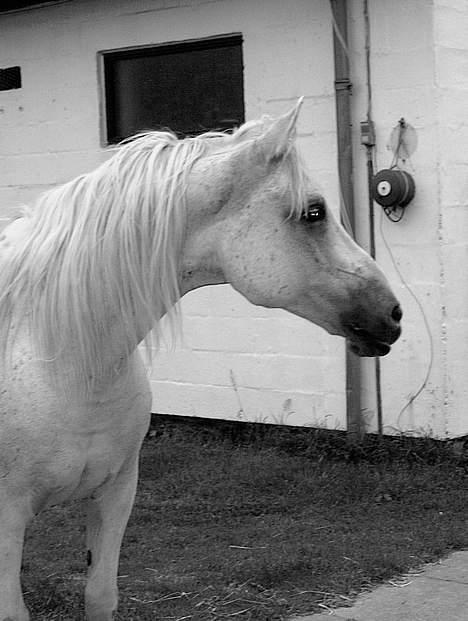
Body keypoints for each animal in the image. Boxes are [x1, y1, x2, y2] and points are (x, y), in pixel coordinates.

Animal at [0, 103, 402, 620]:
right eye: (314, 212)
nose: (392, 314)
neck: (61, 362)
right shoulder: (8, 520)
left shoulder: (115, 494)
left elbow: (100, 596)